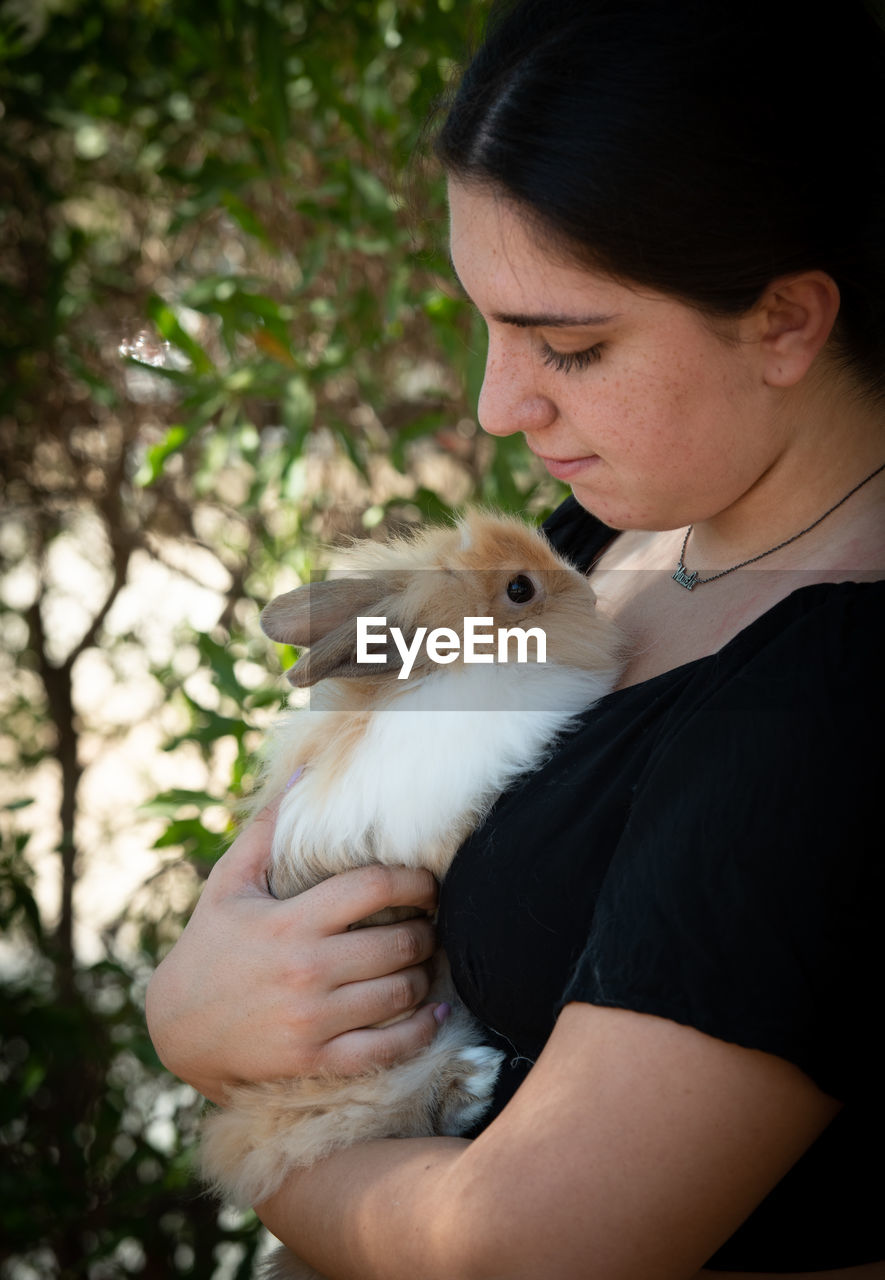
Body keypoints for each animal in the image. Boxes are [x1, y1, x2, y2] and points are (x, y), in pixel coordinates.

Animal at [201, 512, 622, 1280]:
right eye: (519, 589)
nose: (587, 591)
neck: (466, 667)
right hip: (349, 1082)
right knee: (338, 1127)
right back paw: (470, 1082)